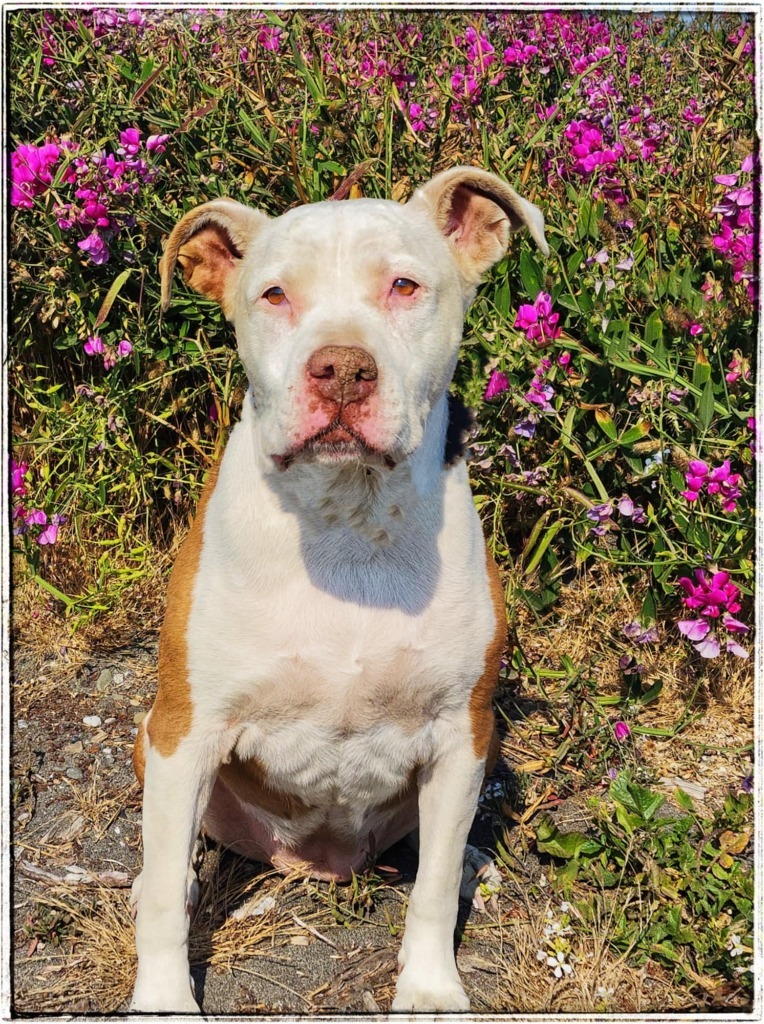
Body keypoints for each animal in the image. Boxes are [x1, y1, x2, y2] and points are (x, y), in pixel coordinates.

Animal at [128, 163, 544, 1011]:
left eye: (405, 285)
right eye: (274, 294)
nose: (344, 368)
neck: (347, 520)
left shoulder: (460, 734)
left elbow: (432, 885)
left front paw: (430, 988)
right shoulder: (187, 731)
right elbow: (161, 899)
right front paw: (162, 999)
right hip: (148, 737)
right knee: (168, 864)